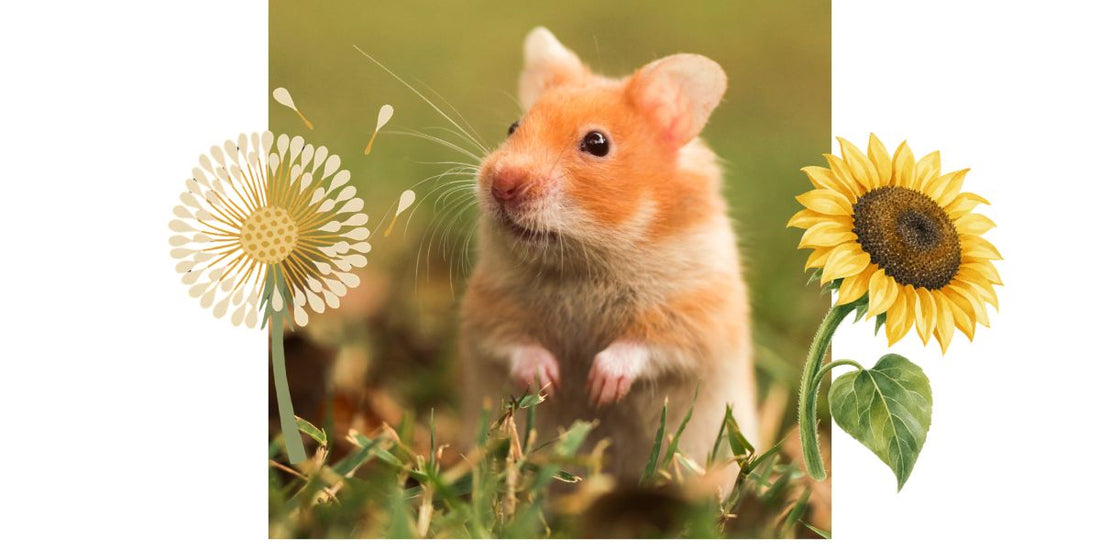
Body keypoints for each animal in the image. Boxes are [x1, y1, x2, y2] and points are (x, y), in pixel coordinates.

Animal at [460, 27, 757, 484]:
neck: (584, 263)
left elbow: (644, 346)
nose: (503, 183)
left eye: (596, 143)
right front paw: (550, 382)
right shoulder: (488, 307)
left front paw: (599, 388)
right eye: (513, 127)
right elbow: (514, 342)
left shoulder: (697, 315)